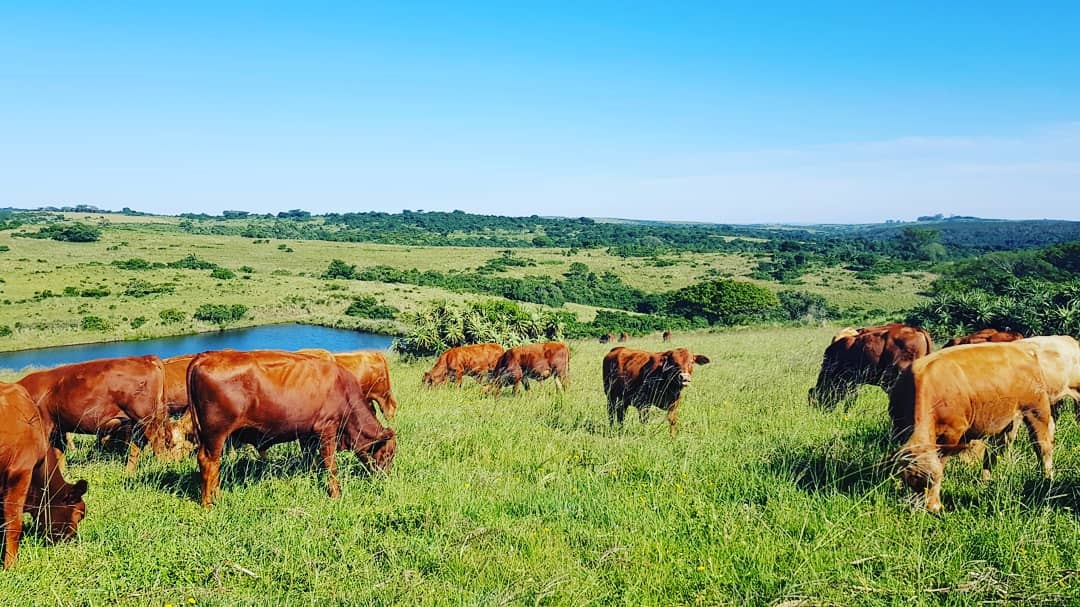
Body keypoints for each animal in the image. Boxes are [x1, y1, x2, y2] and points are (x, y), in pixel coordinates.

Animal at [16, 352, 172, 470]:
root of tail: (144, 358)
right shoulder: (57, 430)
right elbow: (59, 457)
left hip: (147, 418)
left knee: (157, 443)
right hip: (138, 420)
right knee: (138, 445)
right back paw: (128, 473)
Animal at [186, 347, 397, 503]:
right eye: (388, 454)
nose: (386, 478)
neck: (344, 392)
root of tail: (205, 356)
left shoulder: (308, 434)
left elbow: (310, 461)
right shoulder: (327, 429)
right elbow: (331, 466)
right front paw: (336, 495)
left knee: (214, 464)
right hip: (215, 434)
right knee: (209, 462)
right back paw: (209, 502)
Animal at [885, 341, 1062, 509]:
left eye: (933, 481)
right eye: (910, 481)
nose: (931, 508)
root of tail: (1024, 351)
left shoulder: (952, 434)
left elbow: (941, 462)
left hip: (1037, 410)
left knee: (1042, 447)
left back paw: (1047, 478)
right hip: (1007, 420)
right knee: (995, 450)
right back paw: (985, 481)